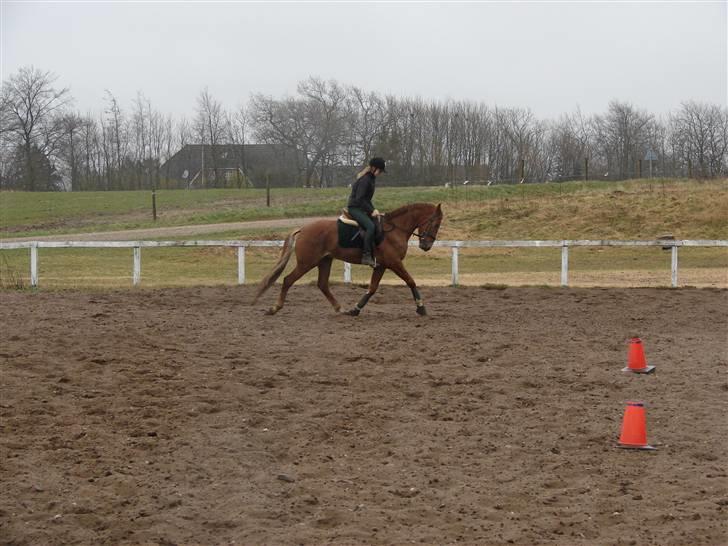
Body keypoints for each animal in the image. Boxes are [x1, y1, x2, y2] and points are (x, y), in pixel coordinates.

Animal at [253, 203, 440, 314]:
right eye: (436, 223)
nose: (426, 246)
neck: (394, 230)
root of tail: (303, 229)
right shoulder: (394, 263)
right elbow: (411, 281)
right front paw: (421, 307)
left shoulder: (381, 265)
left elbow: (372, 288)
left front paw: (356, 309)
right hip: (307, 263)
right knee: (288, 280)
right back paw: (275, 307)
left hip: (324, 261)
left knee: (322, 284)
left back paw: (339, 307)